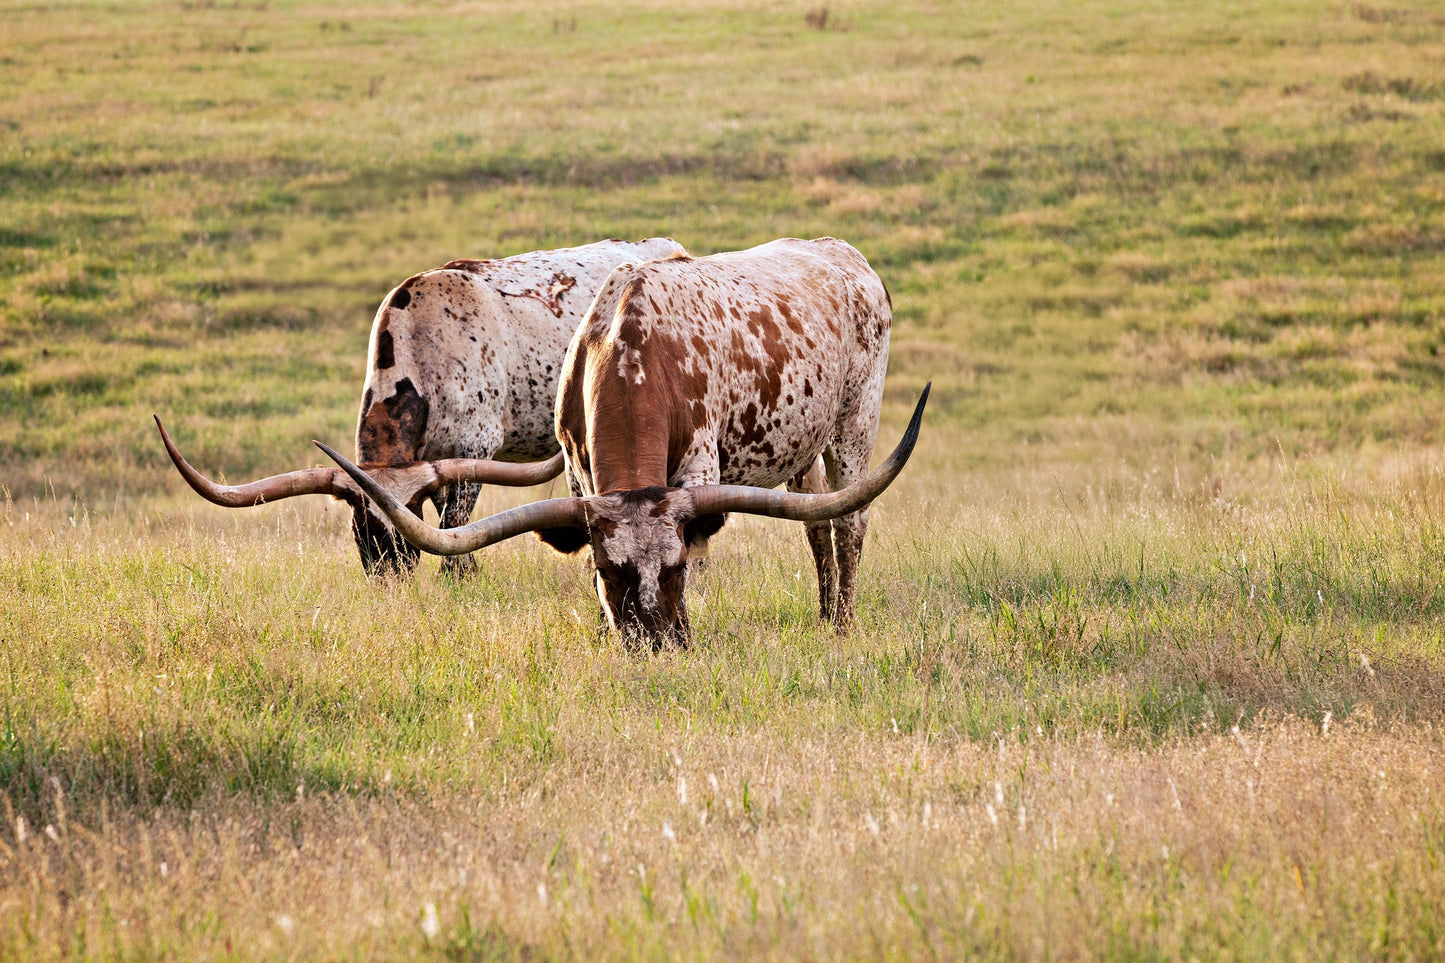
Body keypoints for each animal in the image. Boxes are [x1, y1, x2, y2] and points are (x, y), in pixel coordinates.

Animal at [155, 235, 684, 572]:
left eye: (401, 520)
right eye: (362, 525)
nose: (389, 574)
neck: (426, 347)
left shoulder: (473, 452)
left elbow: (456, 528)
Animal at [319, 235, 924, 647]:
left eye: (676, 568)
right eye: (360, 529)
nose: (655, 644)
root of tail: (843, 252)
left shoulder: (478, 446)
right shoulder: (575, 469)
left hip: (854, 424)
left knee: (850, 519)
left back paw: (842, 623)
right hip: (802, 443)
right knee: (816, 519)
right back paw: (823, 616)